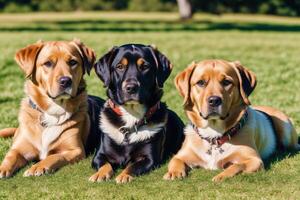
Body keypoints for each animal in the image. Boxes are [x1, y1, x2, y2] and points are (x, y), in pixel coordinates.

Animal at [0, 39, 99, 178]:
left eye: (73, 62)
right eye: (48, 63)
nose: (65, 81)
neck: (54, 111)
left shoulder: (75, 150)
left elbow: (54, 157)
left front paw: (37, 167)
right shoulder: (19, 148)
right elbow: (10, 156)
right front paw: (2, 168)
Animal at [88, 44, 184, 184]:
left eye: (145, 67)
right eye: (120, 67)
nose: (131, 87)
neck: (131, 115)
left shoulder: (149, 159)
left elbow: (132, 166)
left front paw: (124, 175)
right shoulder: (99, 155)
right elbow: (105, 164)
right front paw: (100, 174)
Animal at [164, 59, 300, 181]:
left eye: (226, 82)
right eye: (201, 82)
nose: (214, 100)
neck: (214, 135)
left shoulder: (254, 160)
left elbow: (237, 166)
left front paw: (221, 176)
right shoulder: (181, 155)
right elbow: (175, 161)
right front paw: (173, 173)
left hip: (286, 132)